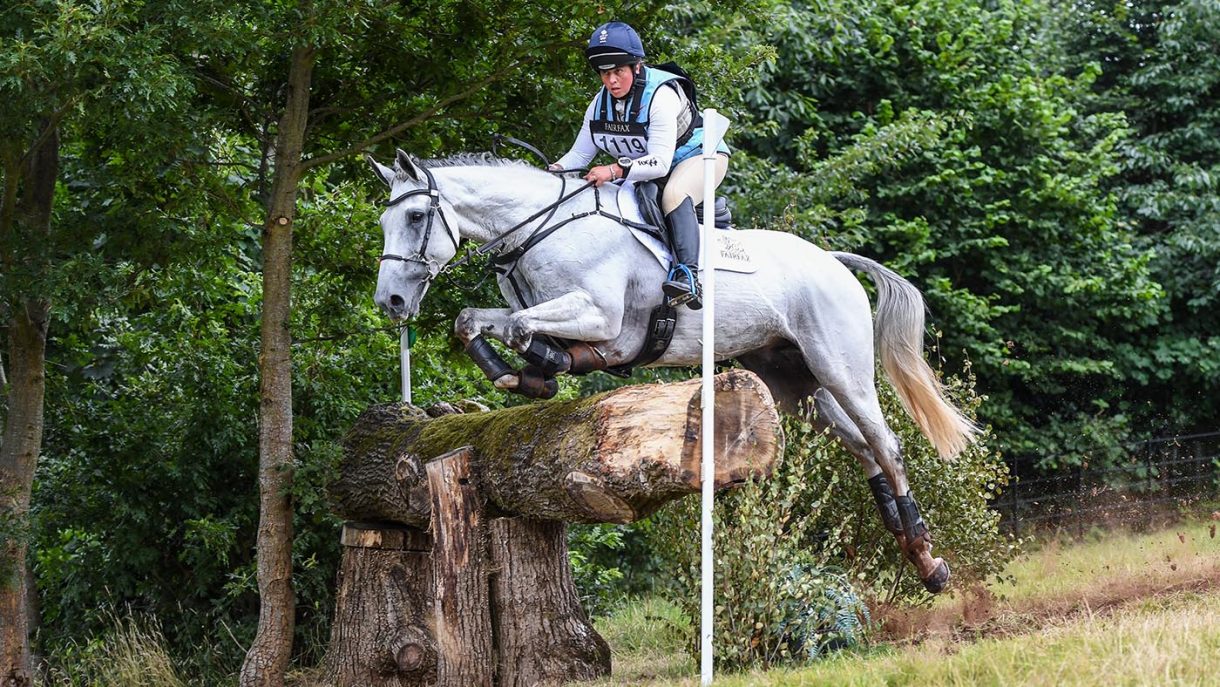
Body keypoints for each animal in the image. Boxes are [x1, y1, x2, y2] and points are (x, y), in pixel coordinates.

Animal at [367, 149, 977, 593]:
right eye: (383, 221)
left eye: (416, 217)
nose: (391, 302)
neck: (543, 231)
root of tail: (832, 260)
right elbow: (475, 321)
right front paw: (520, 375)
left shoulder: (604, 318)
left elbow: (523, 328)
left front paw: (543, 368)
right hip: (793, 382)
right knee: (860, 445)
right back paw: (912, 547)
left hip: (840, 367)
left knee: (886, 443)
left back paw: (927, 557)